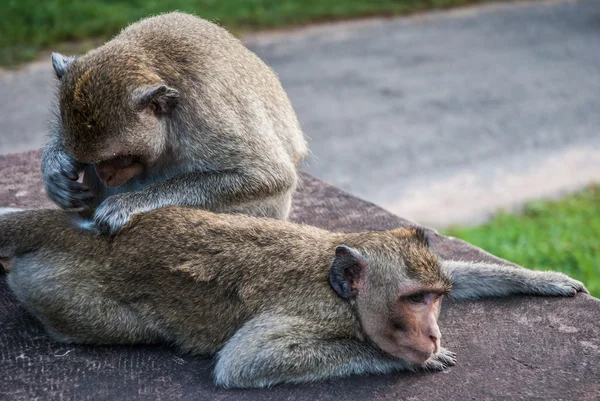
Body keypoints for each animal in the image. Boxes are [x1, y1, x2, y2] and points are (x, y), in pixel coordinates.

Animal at [0, 209, 588, 388]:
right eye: (414, 300)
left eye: (436, 297)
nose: (434, 330)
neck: (342, 293)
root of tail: (56, 223)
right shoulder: (314, 310)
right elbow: (244, 361)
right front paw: (413, 360)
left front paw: (541, 279)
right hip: (61, 293)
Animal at [41, 11, 310, 234]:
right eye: (96, 160)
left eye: (119, 157)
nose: (105, 174)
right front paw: (56, 168)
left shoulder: (205, 112)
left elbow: (266, 175)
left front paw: (129, 203)